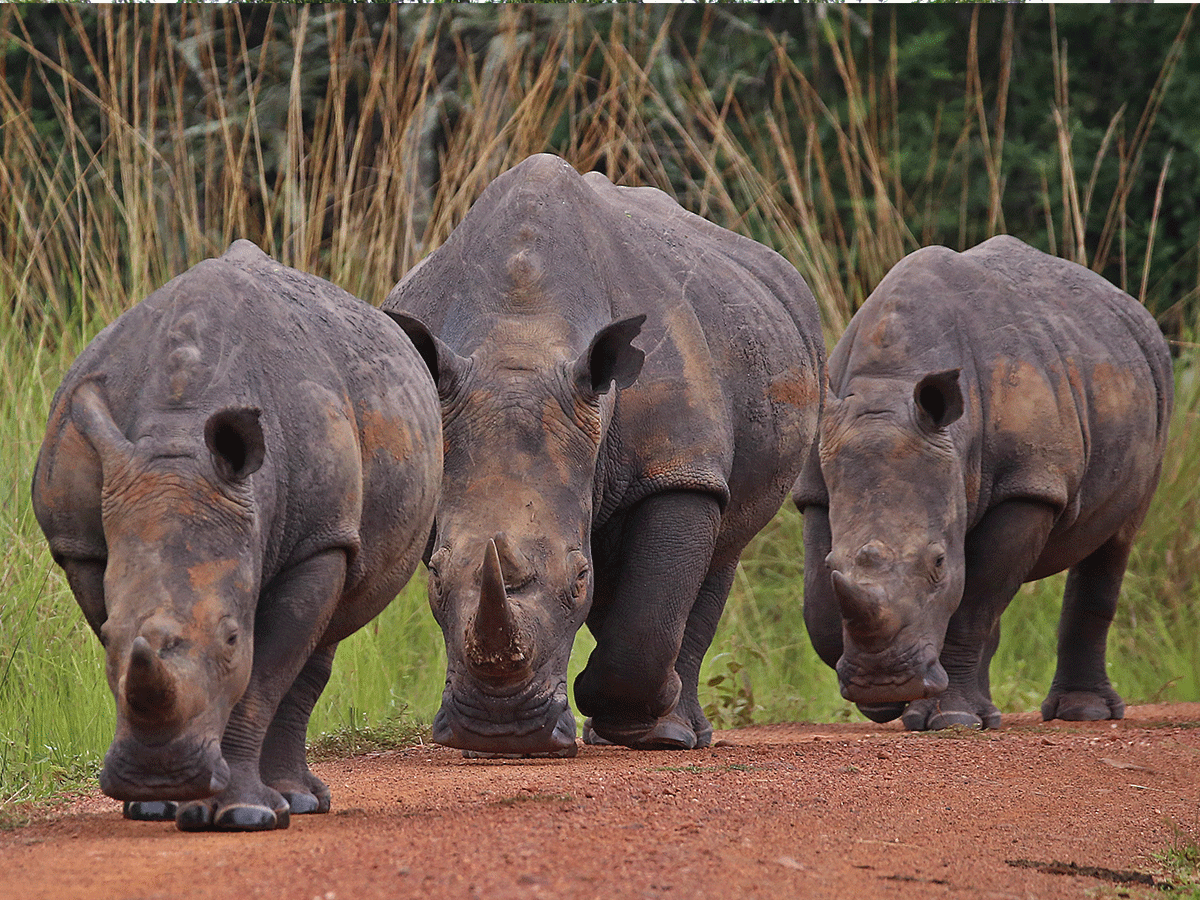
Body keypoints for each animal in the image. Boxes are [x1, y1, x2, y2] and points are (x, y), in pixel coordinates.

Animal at [35, 241, 444, 830]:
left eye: (232, 637)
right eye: (108, 637)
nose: (158, 775)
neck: (176, 437)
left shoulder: (318, 540)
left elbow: (263, 676)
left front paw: (243, 814)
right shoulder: (82, 547)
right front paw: (159, 804)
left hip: (339, 524)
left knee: (320, 641)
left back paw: (296, 801)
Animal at [384, 153, 825, 753]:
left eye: (578, 579)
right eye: (432, 577)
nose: (502, 731)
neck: (522, 333)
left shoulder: (679, 464)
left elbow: (649, 614)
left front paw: (636, 719)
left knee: (723, 549)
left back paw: (675, 732)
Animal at [796, 234, 1171, 734]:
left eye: (938, 562)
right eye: (833, 558)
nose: (884, 682)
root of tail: (1129, 304)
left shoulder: (1028, 485)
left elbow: (972, 601)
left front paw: (946, 716)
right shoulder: (817, 486)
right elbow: (819, 602)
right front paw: (889, 702)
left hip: (1149, 386)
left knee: (1117, 537)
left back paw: (1080, 713)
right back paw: (988, 715)